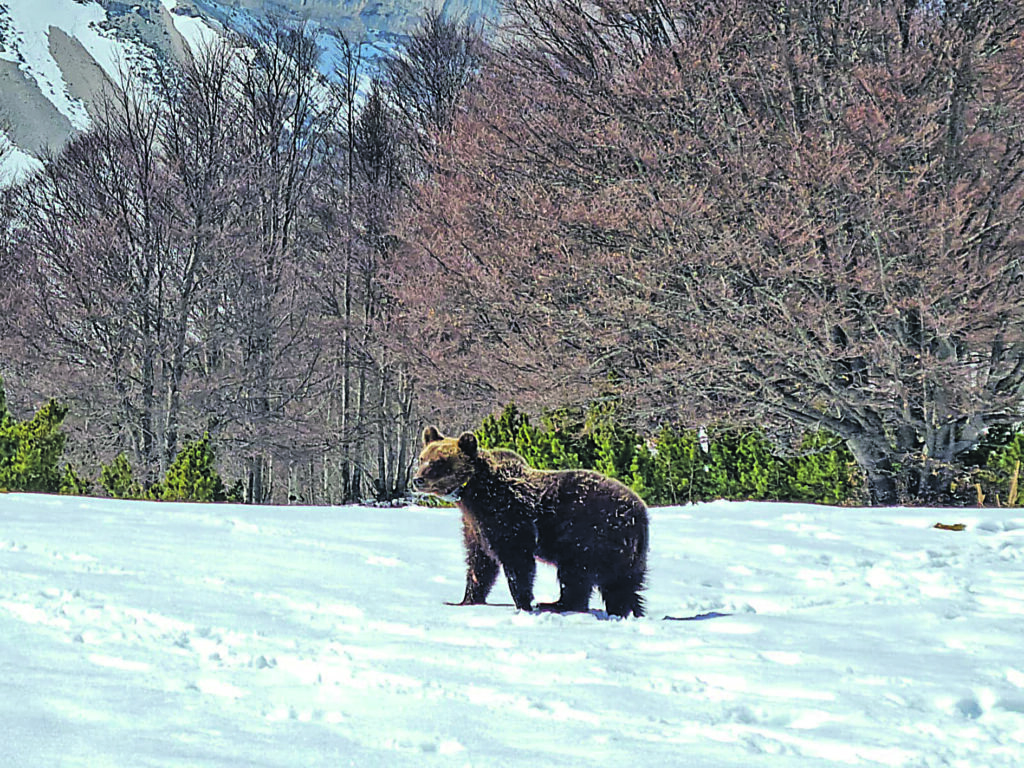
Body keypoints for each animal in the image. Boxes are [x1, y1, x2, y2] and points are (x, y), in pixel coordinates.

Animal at [412, 426, 649, 617]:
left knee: (576, 575)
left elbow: (517, 561)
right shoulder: (474, 526)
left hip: (589, 536)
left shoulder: (508, 516)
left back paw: (556, 604)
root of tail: (639, 511)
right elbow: (479, 563)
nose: (417, 480)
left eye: (440, 462)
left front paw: (523, 603)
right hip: (625, 553)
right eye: (422, 458)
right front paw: (465, 600)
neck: (473, 493)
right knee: (623, 585)